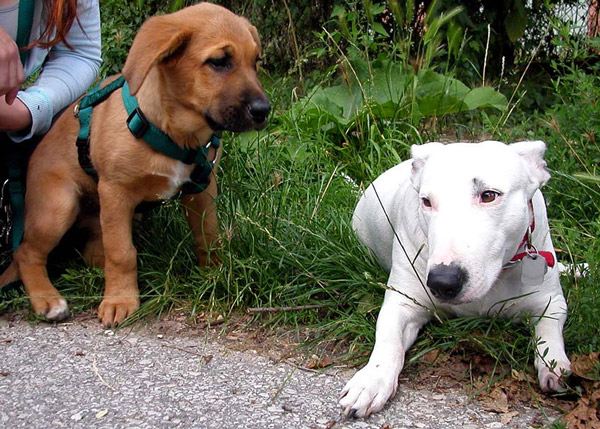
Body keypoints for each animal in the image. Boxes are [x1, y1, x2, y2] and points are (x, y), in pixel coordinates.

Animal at [0, 3, 270, 326]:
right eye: (219, 62)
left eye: (255, 62)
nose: (264, 111)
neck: (175, 133)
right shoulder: (115, 193)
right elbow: (122, 252)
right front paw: (120, 300)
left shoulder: (202, 190)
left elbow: (209, 236)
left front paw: (215, 275)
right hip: (59, 206)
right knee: (26, 252)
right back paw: (48, 300)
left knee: (91, 250)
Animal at [340, 141, 568, 418]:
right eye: (426, 202)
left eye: (488, 195)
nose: (442, 282)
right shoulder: (403, 304)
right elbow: (388, 339)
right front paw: (371, 381)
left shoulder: (551, 301)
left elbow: (549, 331)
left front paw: (555, 366)